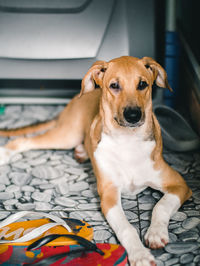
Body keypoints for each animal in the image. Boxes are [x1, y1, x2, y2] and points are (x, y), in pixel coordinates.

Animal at [0, 56, 191, 266]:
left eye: (142, 84)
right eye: (114, 85)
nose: (133, 115)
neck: (128, 142)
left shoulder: (179, 185)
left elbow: (161, 206)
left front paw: (156, 234)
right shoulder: (109, 195)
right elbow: (126, 228)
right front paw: (139, 254)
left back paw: (83, 151)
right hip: (67, 135)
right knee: (24, 141)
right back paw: (4, 153)